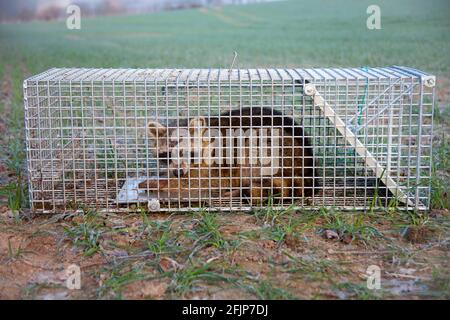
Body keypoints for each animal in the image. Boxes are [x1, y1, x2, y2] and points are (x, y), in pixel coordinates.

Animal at [141, 106, 316, 204]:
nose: (177, 172)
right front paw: (166, 175)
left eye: (188, 153)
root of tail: (309, 167)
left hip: (272, 148)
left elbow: (200, 182)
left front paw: (164, 182)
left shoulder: (216, 162)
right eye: (167, 155)